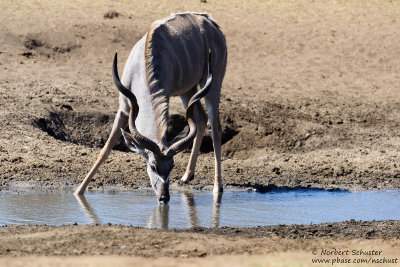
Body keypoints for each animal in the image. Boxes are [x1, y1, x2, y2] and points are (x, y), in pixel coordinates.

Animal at [73, 11, 227, 203]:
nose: (164, 197)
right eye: (153, 166)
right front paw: (78, 191)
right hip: (188, 91)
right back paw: (187, 176)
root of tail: (210, 21)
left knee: (215, 128)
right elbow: (106, 149)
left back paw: (217, 187)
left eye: (171, 166)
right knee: (200, 120)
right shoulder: (124, 108)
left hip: (213, 82)